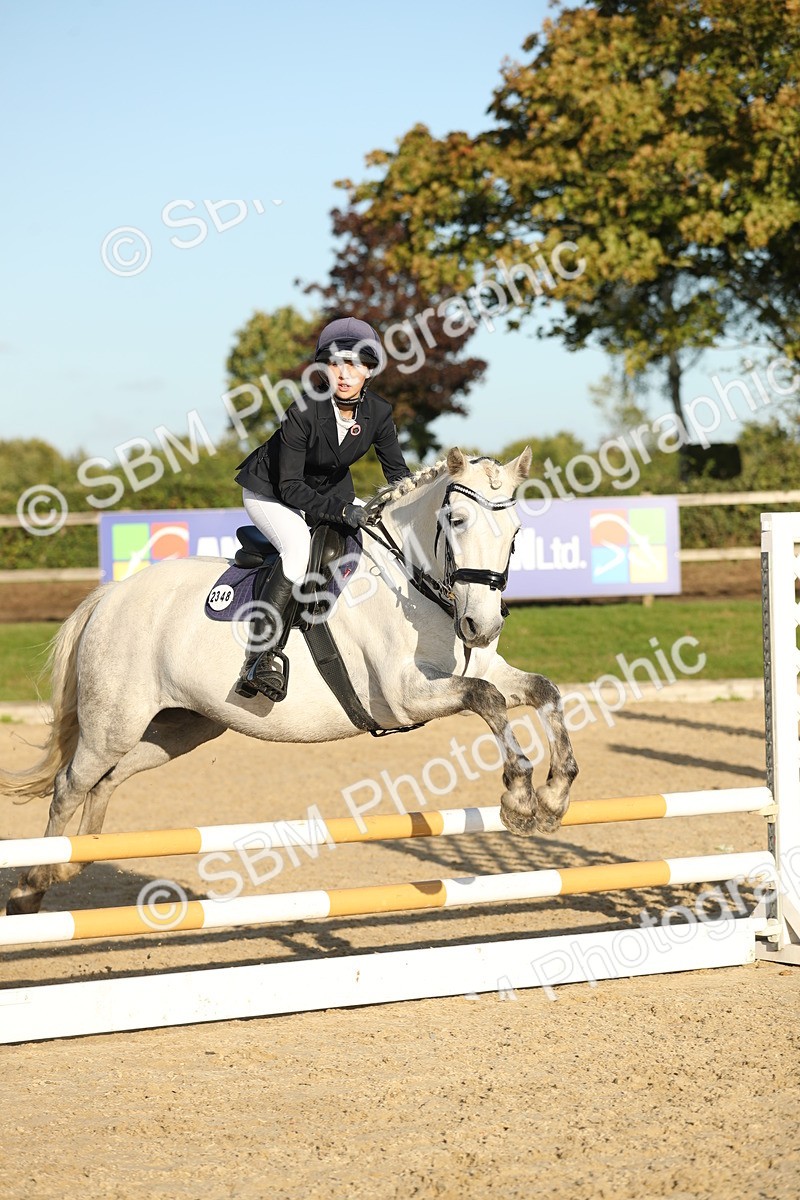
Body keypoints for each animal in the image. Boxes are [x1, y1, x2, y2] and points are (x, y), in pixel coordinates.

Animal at [1, 446, 578, 915]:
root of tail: (112, 595)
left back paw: (70, 865)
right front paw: (520, 798)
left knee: (105, 782)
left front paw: (553, 798)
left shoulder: (479, 670)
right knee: (70, 785)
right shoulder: (405, 697)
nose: (482, 626)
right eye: (456, 520)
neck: (415, 584)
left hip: (180, 729)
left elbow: (541, 692)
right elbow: (488, 701)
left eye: (515, 534)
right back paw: (31, 886)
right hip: (114, 724)